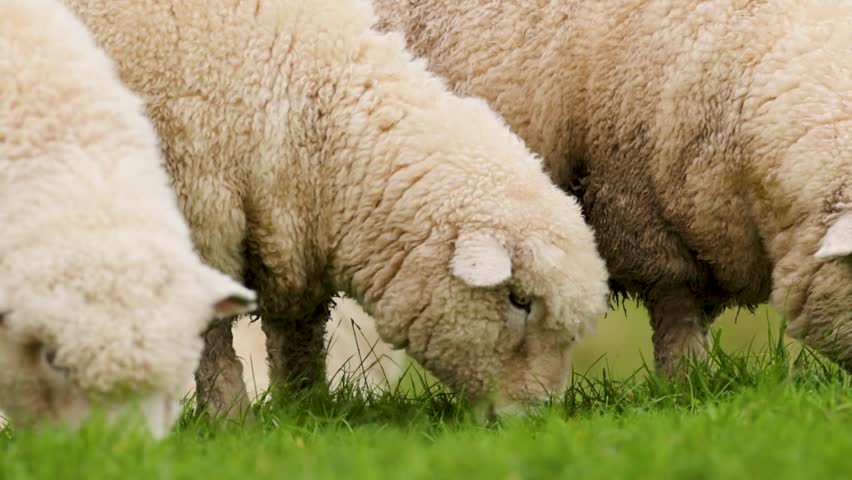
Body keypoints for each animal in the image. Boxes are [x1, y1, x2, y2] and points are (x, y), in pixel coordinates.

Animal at [62, 0, 610, 417]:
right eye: (519, 300)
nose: (536, 417)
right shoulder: (196, 217)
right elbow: (211, 335)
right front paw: (228, 415)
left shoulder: (289, 229)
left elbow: (297, 339)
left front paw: (304, 408)